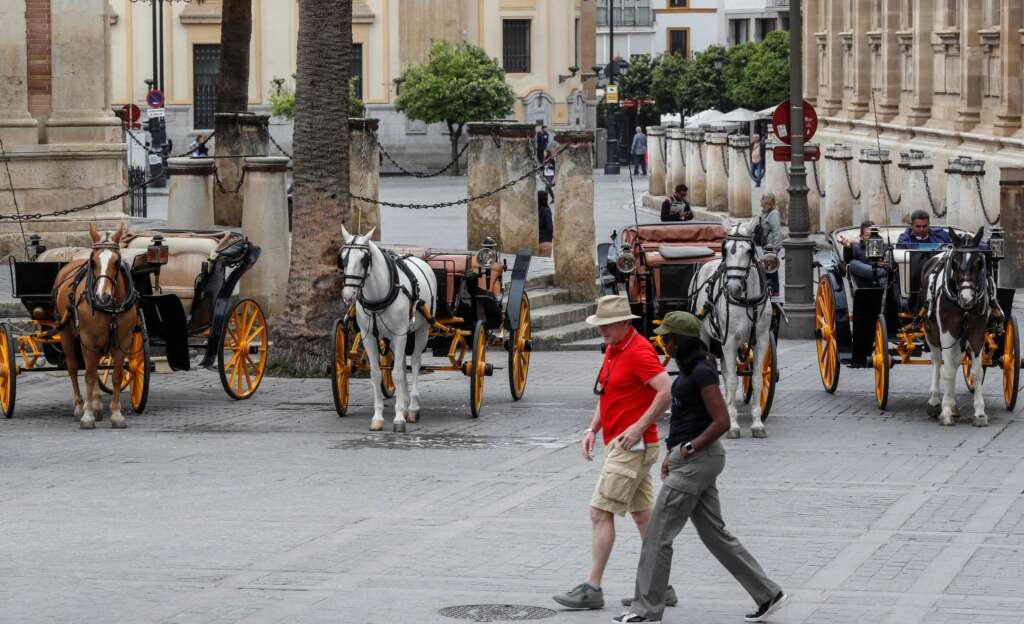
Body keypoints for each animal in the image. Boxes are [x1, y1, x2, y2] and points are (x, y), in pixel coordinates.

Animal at [54, 223, 141, 428]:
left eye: (117, 262)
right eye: (93, 262)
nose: (103, 297)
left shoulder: (122, 341)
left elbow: (116, 376)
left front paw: (116, 414)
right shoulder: (88, 340)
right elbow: (89, 375)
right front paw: (87, 416)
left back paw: (96, 403)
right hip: (68, 335)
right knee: (74, 368)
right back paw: (80, 406)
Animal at [339, 226, 436, 430]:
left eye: (364, 259)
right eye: (342, 258)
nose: (348, 295)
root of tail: (419, 260)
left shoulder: (400, 335)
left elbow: (397, 374)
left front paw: (399, 418)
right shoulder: (369, 337)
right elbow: (377, 374)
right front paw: (378, 417)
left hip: (421, 331)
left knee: (415, 363)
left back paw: (412, 408)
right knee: (401, 365)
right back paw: (405, 404)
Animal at [692, 219, 770, 438]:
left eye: (749, 250)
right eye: (725, 249)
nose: (733, 287)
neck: (746, 300)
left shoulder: (761, 341)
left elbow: (757, 379)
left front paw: (757, 423)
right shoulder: (729, 342)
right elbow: (734, 381)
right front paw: (733, 425)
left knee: (727, 374)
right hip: (706, 336)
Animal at [921, 226, 991, 426]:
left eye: (979, 262)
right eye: (955, 262)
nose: (967, 298)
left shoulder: (977, 331)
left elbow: (976, 372)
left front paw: (980, 413)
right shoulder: (947, 330)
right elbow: (948, 370)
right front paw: (944, 411)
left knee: (955, 360)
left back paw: (952, 404)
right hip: (932, 331)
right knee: (938, 362)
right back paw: (936, 401)